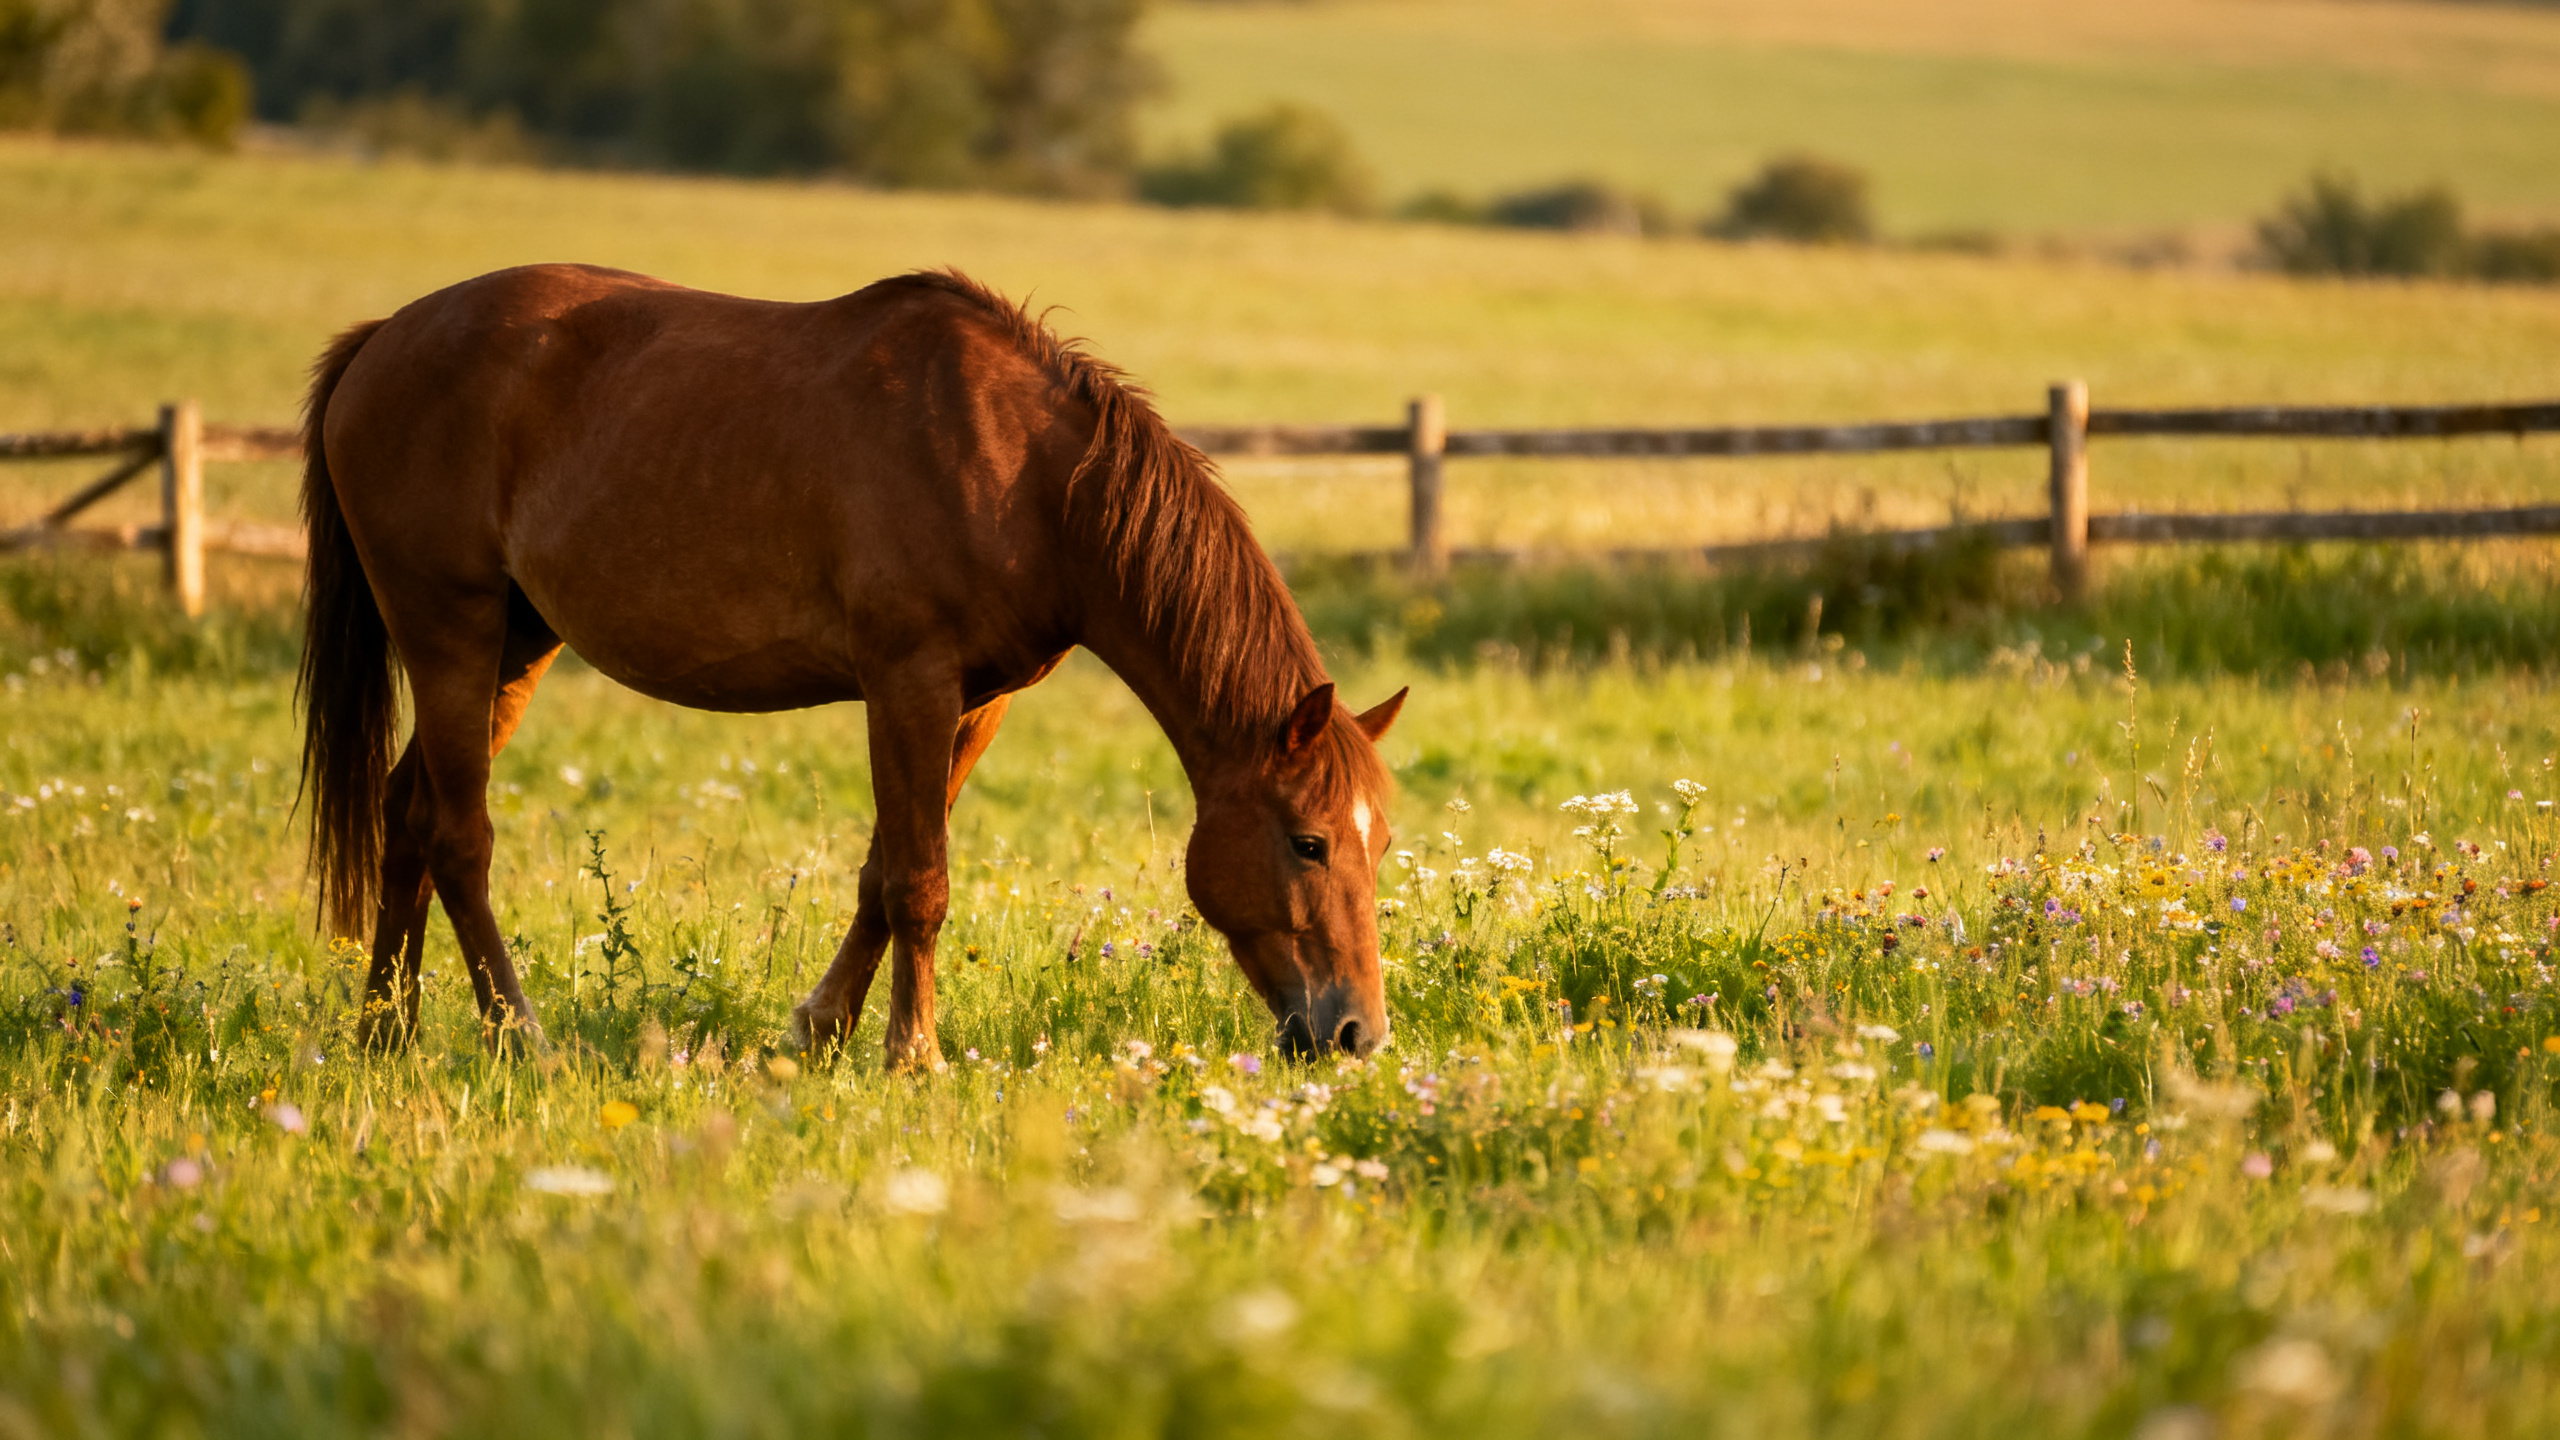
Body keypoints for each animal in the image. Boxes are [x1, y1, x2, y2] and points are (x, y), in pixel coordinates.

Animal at [297, 264, 1407, 1069]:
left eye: (1382, 842)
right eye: (1309, 842)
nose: (1356, 1033)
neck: (1029, 477)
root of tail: (380, 342)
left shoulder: (978, 702)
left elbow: (883, 873)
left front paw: (819, 1031)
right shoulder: (906, 678)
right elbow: (919, 879)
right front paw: (912, 1057)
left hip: (517, 647)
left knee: (407, 814)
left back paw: (384, 1033)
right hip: (450, 631)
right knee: (459, 838)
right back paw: (515, 1034)